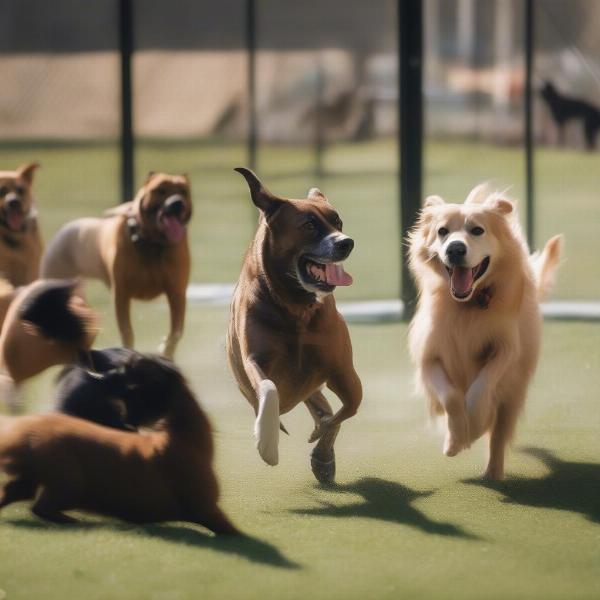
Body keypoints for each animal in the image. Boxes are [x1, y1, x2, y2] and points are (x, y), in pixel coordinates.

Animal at [0, 352, 239, 536]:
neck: (182, 437)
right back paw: (75, 522)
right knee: (42, 507)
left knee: (17, 494)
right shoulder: (206, 509)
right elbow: (235, 534)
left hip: (35, 480)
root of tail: (25, 435)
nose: (128, 421)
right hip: (68, 484)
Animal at [41, 171, 191, 358]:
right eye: (160, 190)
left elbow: (175, 333)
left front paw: (165, 351)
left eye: (184, 191)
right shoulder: (121, 294)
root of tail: (64, 230)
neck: (151, 243)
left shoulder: (177, 292)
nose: (177, 203)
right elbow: (127, 332)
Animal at [227, 168, 364, 482]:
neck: (296, 308)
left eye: (337, 221)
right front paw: (267, 444)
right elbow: (268, 389)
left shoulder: (341, 369)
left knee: (331, 409)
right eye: (309, 225)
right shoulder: (255, 360)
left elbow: (347, 408)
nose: (346, 242)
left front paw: (322, 449)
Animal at [406, 185, 564, 480]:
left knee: (499, 434)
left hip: (513, 395)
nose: (455, 248)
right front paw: (457, 438)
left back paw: (494, 472)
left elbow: (481, 389)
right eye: (442, 231)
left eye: (477, 230)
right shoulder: (429, 357)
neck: (467, 305)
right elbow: (451, 396)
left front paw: (475, 425)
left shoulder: (506, 349)